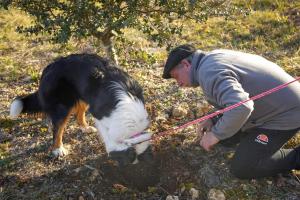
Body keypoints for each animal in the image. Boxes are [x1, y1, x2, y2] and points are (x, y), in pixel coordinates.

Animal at [9, 53, 152, 166]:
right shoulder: (101, 116)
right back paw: (58, 149)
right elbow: (107, 135)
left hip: (83, 96)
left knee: (78, 114)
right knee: (57, 128)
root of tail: (50, 66)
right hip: (63, 107)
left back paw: (85, 128)